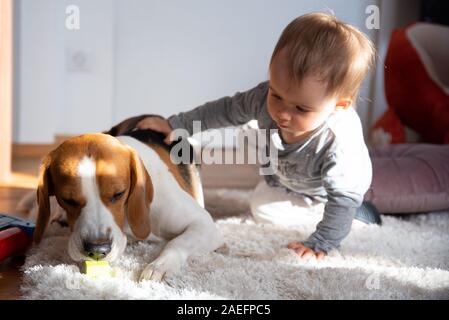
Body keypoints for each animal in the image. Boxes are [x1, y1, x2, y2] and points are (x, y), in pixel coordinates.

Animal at [32, 116, 224, 282]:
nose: (97, 250)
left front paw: (159, 266)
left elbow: (178, 242)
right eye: (67, 199)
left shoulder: (204, 224)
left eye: (119, 194)